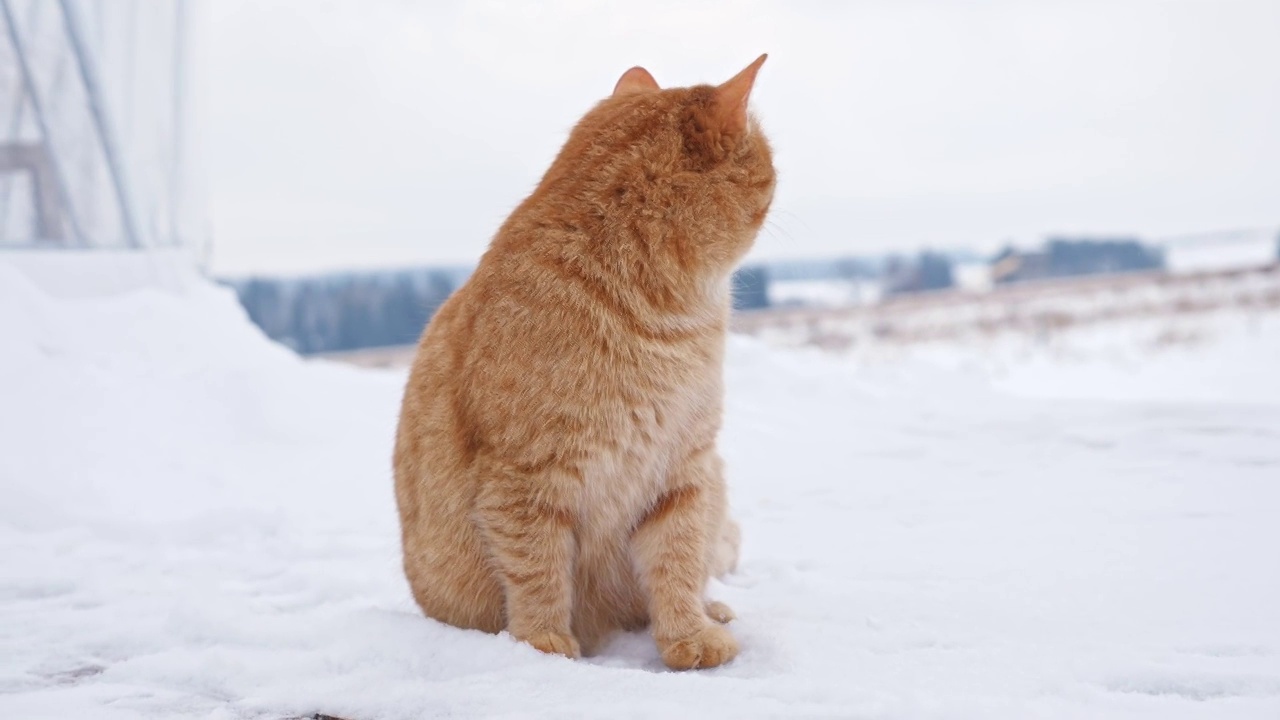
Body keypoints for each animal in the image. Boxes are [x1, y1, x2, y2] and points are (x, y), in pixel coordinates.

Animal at [391, 54, 768, 666]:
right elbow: (536, 571)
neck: (664, 324)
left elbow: (678, 561)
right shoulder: (524, 479)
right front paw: (545, 644)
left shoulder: (683, 469)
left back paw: (713, 609)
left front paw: (688, 634)